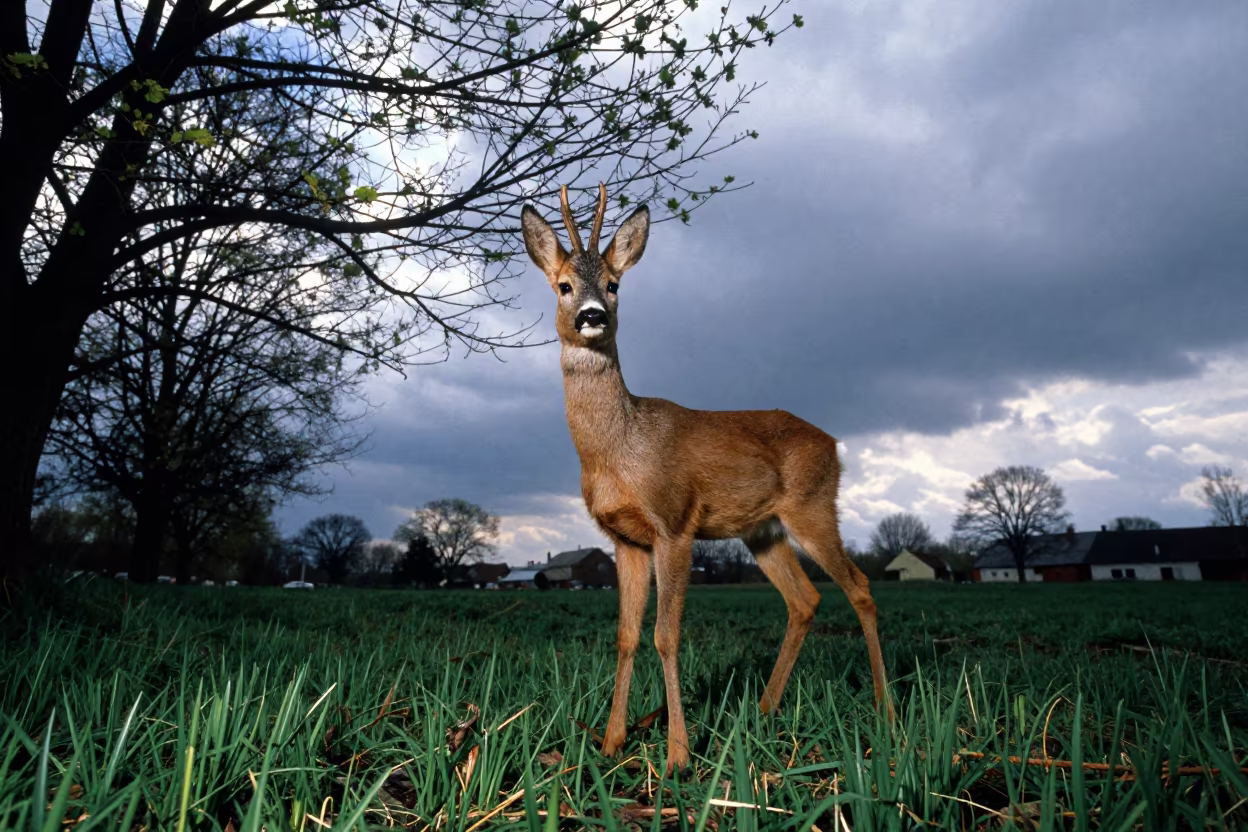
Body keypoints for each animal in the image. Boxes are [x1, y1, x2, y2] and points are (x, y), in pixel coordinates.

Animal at [520, 184, 891, 777]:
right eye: (564, 286)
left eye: (614, 284)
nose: (593, 315)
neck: (620, 448)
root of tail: (834, 444)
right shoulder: (625, 539)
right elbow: (626, 636)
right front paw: (611, 744)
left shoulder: (674, 524)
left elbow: (666, 636)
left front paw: (677, 755)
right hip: (763, 531)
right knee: (805, 599)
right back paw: (763, 709)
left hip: (813, 507)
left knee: (859, 587)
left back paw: (886, 712)